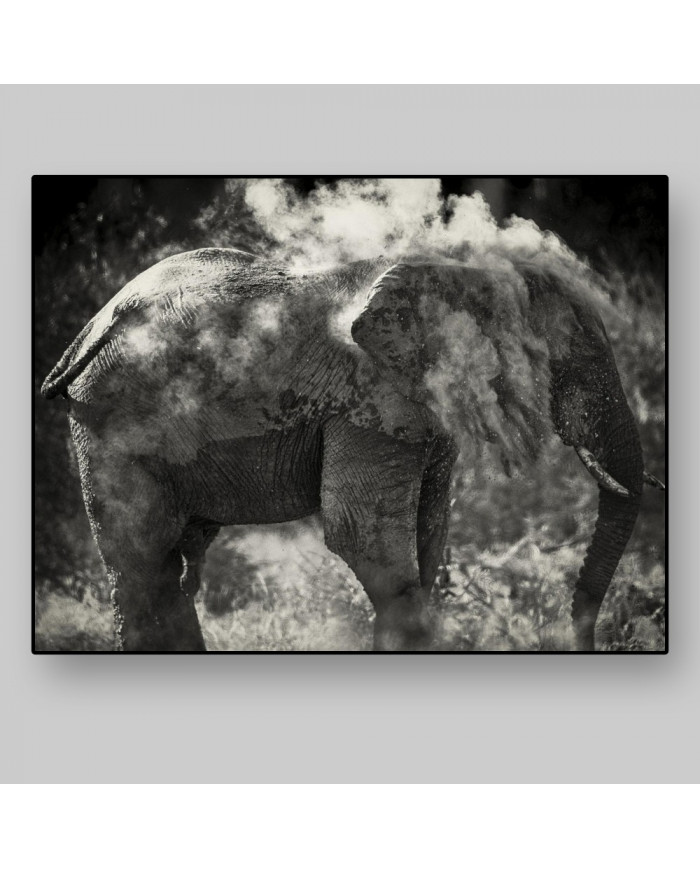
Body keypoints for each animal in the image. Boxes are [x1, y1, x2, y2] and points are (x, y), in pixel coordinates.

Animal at [42, 247, 664, 652]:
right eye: (568, 361)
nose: (577, 637)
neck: (460, 273)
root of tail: (90, 328)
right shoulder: (370, 398)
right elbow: (363, 539)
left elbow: (429, 537)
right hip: (110, 418)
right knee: (143, 565)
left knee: (164, 569)